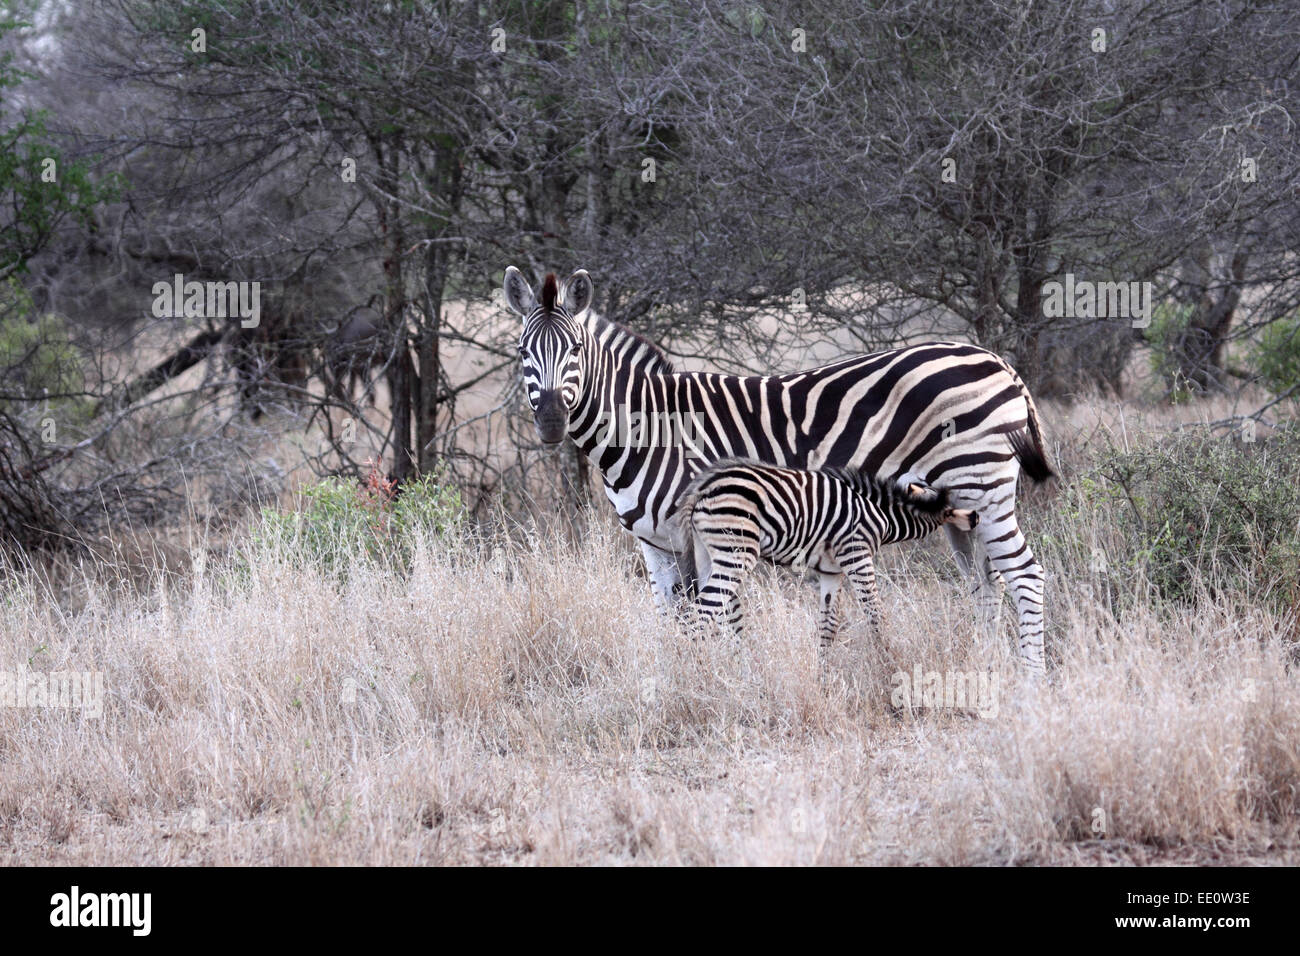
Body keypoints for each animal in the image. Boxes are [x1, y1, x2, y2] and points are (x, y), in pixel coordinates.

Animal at [672, 459, 978, 645]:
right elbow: (877, 614)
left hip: (708, 555)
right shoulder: (857, 555)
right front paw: (890, 666)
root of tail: (703, 486)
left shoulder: (832, 571)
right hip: (737, 553)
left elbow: (828, 626)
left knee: (710, 615)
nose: (975, 516)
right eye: (949, 506)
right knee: (696, 618)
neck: (881, 514)